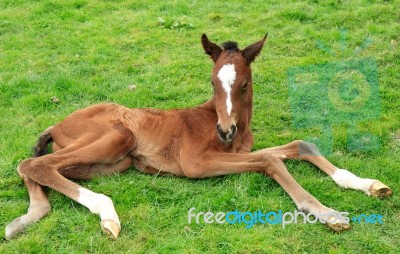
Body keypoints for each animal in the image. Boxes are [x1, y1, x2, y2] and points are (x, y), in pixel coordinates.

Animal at [4, 34, 392, 240]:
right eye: (212, 81)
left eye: (244, 83)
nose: (224, 129)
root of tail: (57, 124)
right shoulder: (195, 163)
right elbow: (269, 160)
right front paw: (328, 214)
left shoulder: (239, 150)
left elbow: (298, 145)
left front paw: (370, 185)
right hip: (117, 138)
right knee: (33, 163)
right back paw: (106, 213)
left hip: (111, 163)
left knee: (39, 168)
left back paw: (26, 218)